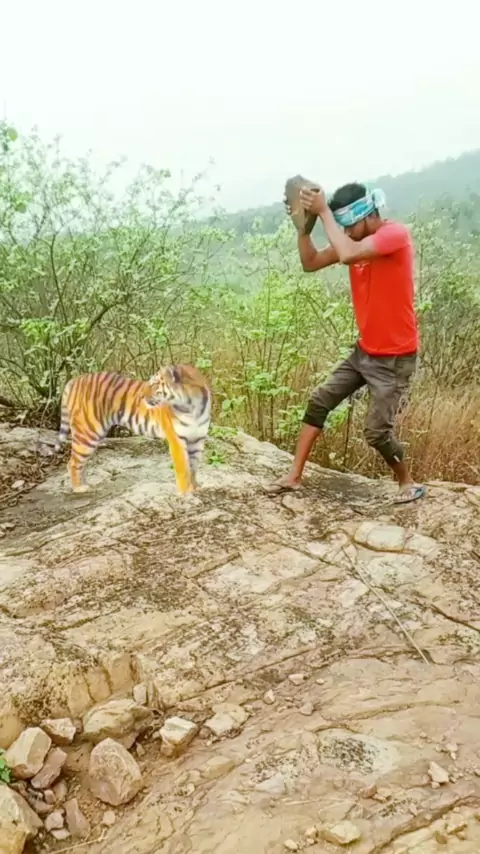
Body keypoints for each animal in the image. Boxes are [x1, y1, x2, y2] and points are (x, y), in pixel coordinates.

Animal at [55, 364, 212, 495]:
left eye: (155, 383)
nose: (141, 396)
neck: (192, 407)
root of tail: (75, 379)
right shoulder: (177, 440)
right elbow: (183, 468)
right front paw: (185, 493)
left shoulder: (197, 440)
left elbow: (193, 467)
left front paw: (195, 488)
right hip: (88, 432)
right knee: (73, 463)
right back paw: (79, 488)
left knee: (80, 462)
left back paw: (85, 484)